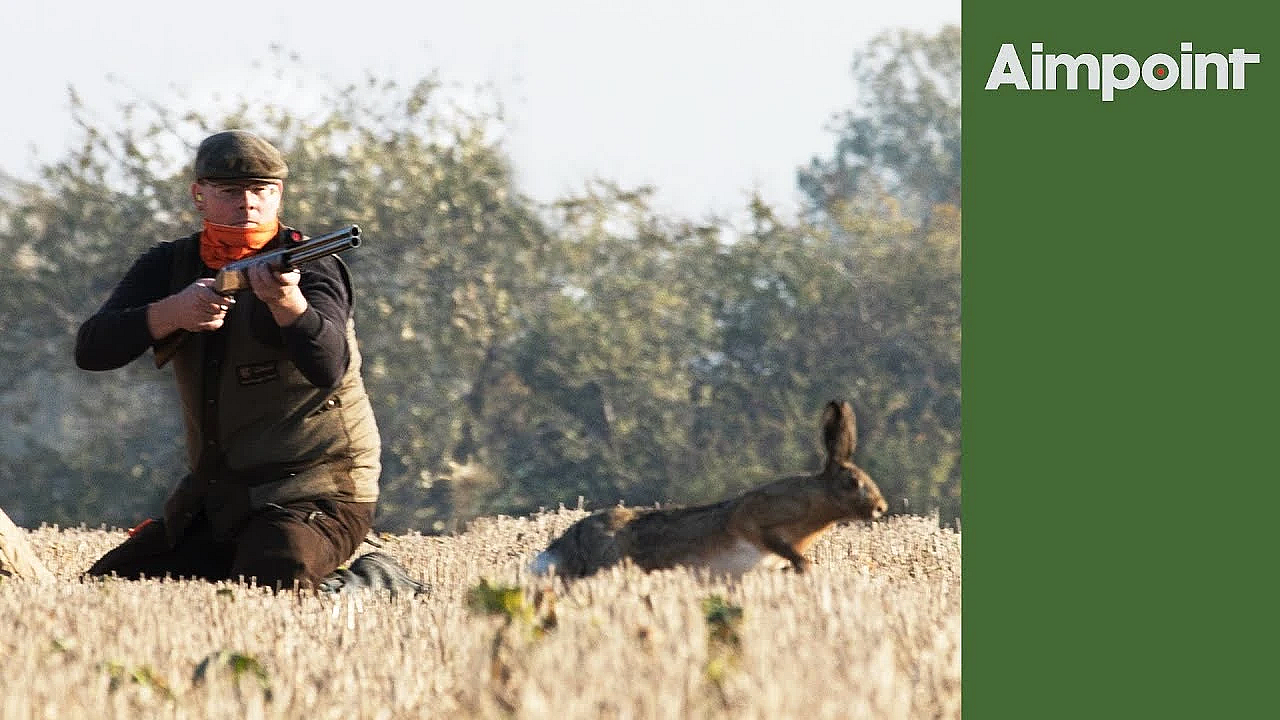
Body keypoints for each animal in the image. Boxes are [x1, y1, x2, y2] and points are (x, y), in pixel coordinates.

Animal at [530, 400, 887, 578]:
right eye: (852, 482)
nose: (881, 507)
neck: (817, 498)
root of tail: (568, 543)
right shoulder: (754, 522)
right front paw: (799, 568)